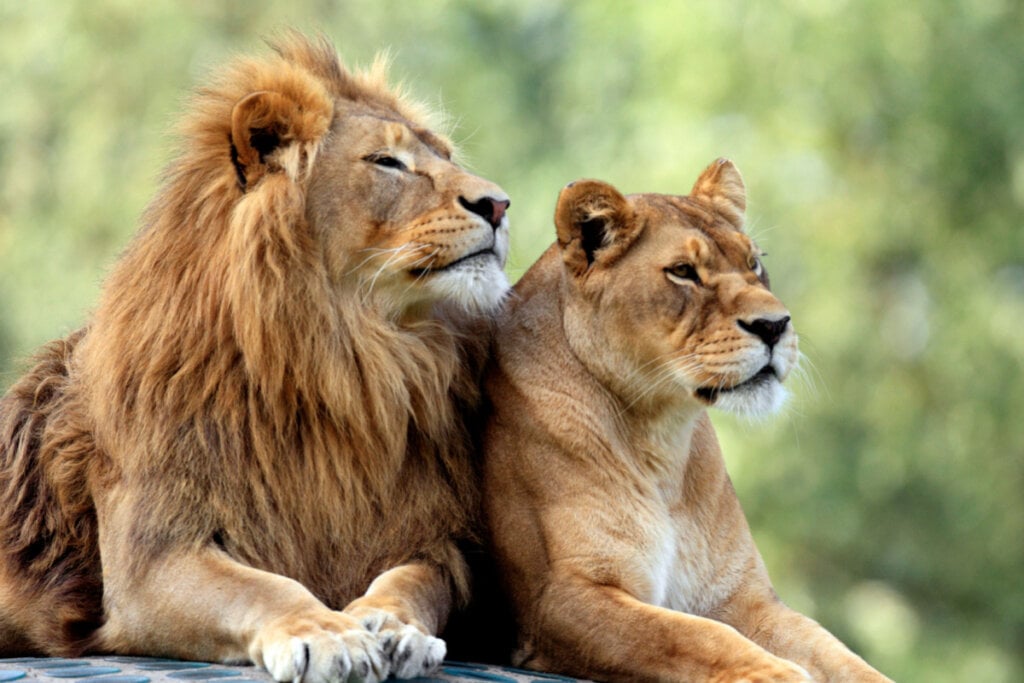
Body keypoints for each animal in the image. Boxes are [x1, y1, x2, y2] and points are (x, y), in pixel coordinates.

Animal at [0, 33, 512, 683]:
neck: (348, 361)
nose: (500, 204)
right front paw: (327, 633)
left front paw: (394, 627)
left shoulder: (435, 541)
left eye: (444, 155)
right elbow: (263, 587)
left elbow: (413, 582)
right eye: (387, 162)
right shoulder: (150, 558)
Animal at [479, 161, 888, 683]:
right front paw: (783, 675)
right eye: (683, 272)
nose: (775, 325)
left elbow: (837, 653)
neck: (661, 438)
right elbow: (694, 636)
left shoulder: (743, 597)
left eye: (754, 263)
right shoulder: (559, 599)